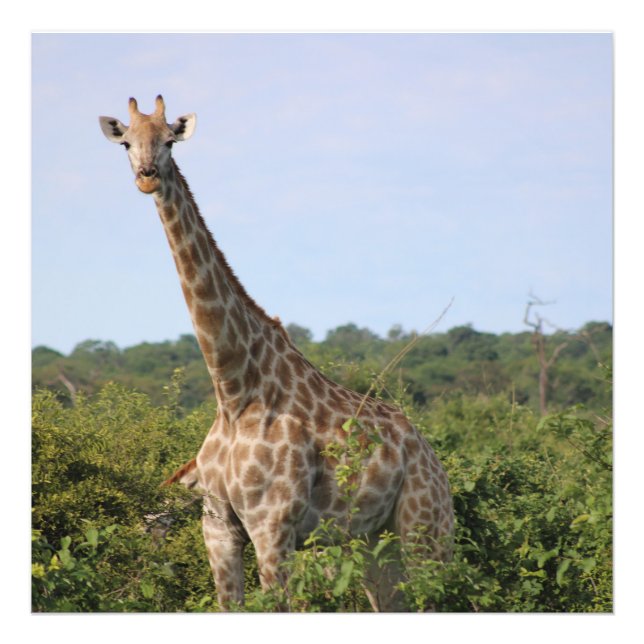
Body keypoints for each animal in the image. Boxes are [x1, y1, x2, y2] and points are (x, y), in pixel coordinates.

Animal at [99, 96, 454, 611]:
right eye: (126, 142)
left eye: (169, 141)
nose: (146, 176)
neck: (233, 389)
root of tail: (431, 455)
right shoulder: (218, 528)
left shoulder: (272, 527)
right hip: (374, 543)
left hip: (426, 528)